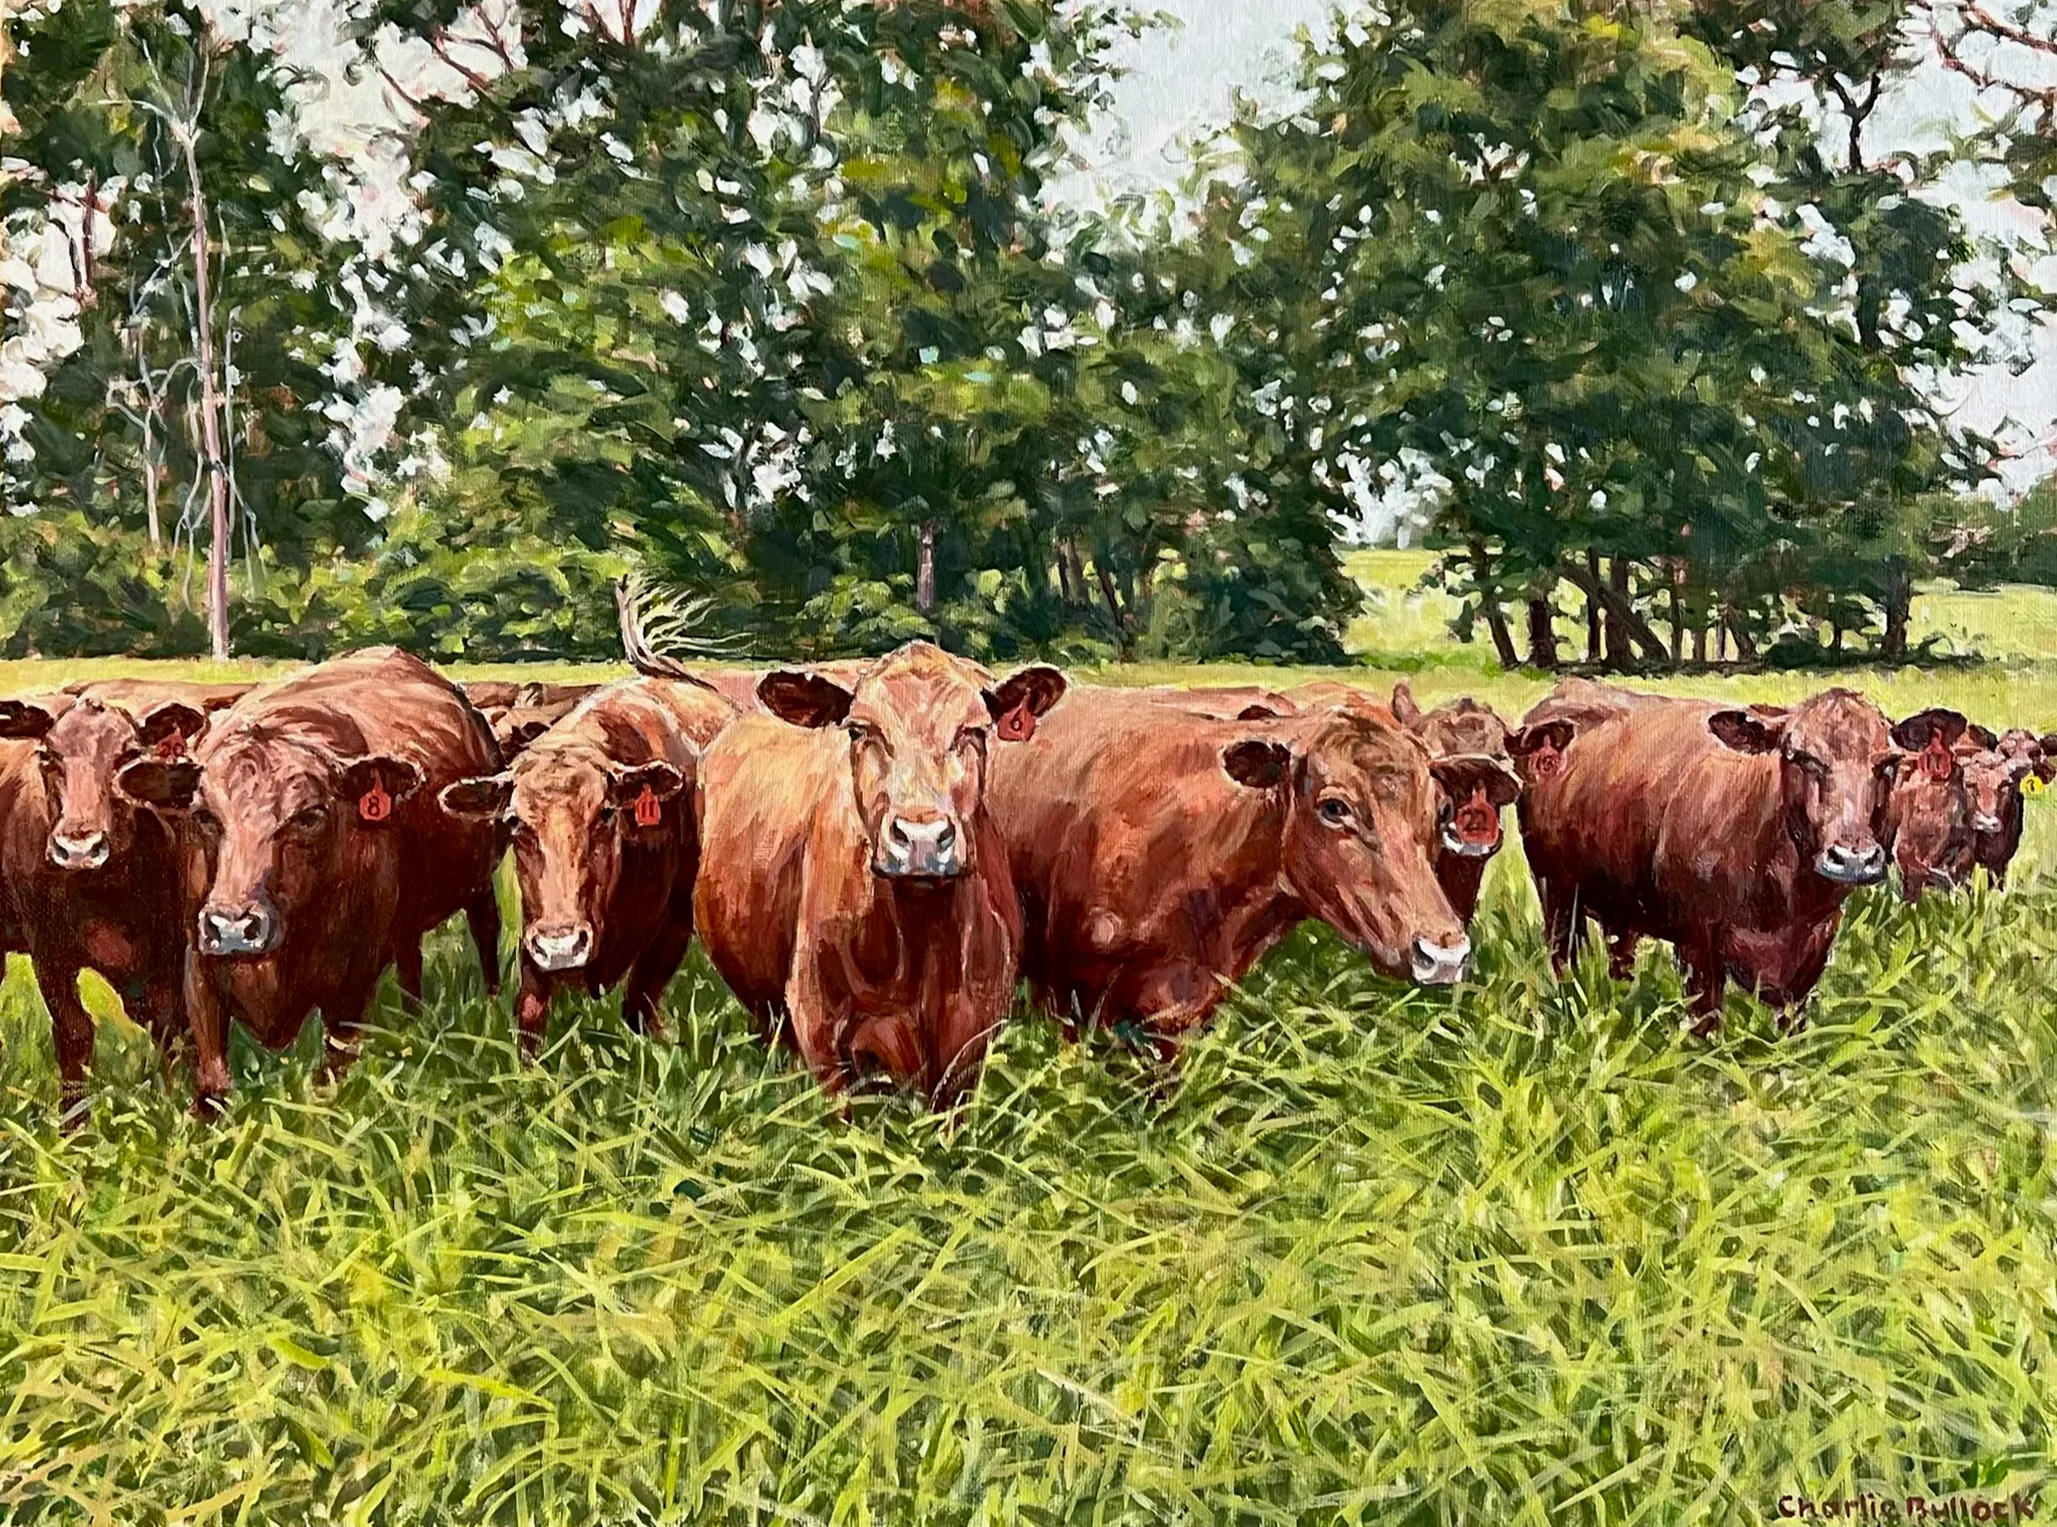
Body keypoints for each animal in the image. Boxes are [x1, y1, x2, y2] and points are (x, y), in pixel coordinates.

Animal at [0, 690, 210, 1117]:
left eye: (128, 755)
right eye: (47, 755)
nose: (79, 848)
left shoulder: (168, 951)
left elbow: (172, 1029)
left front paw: (179, 1113)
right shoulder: (47, 949)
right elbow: (74, 1033)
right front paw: (72, 1124)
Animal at [116, 648, 506, 1114]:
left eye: (309, 816)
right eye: (204, 815)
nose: (233, 927)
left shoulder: (355, 978)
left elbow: (332, 1074)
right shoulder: (199, 963)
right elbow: (212, 1080)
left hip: (480, 884)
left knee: (486, 933)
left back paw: (491, 1003)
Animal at [439, 678, 736, 1051]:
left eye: (606, 813)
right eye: (514, 821)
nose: (562, 946)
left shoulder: (673, 926)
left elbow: (638, 1005)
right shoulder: (534, 937)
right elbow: (529, 1018)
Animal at [691, 643, 1066, 1106]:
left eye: (973, 731)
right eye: (860, 731)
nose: (922, 838)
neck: (921, 942)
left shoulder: (973, 1036)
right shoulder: (818, 1024)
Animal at [1513, 685, 1967, 1031]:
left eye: (1888, 763)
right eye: (1799, 756)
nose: (1854, 858)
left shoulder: (1815, 944)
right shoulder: (1697, 944)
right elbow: (1706, 1025)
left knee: (1619, 955)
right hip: (1556, 892)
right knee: (1564, 957)